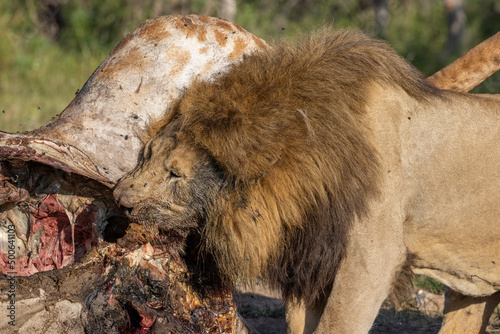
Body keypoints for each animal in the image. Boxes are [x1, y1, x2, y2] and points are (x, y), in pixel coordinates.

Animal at [113, 30, 500, 332]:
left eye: (175, 173)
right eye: (147, 154)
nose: (119, 199)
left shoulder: (373, 258)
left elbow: (337, 325)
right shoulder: (309, 258)